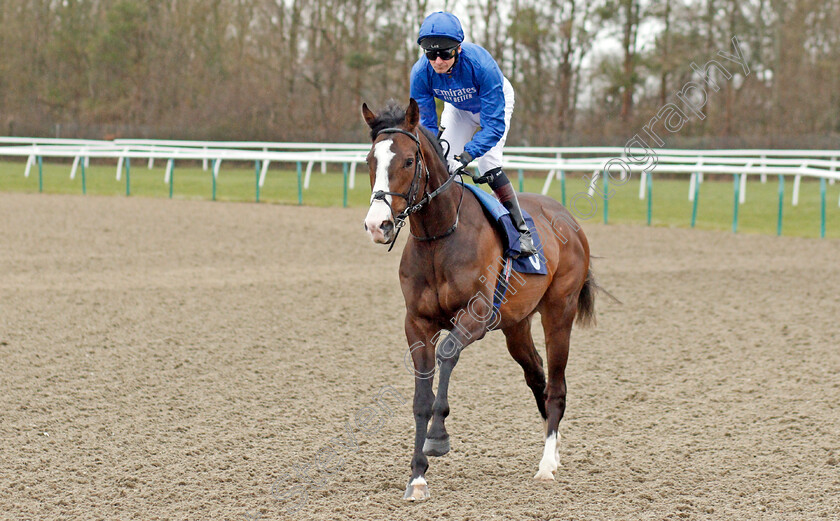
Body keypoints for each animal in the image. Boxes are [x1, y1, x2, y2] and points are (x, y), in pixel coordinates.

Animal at [360, 97, 596, 500]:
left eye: (407, 160)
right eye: (369, 161)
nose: (378, 225)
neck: (439, 237)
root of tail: (568, 219)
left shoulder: (477, 316)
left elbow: (447, 354)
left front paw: (438, 437)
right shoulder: (417, 323)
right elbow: (421, 395)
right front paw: (416, 476)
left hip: (558, 311)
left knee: (557, 385)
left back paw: (547, 464)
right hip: (516, 325)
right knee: (538, 376)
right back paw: (554, 448)